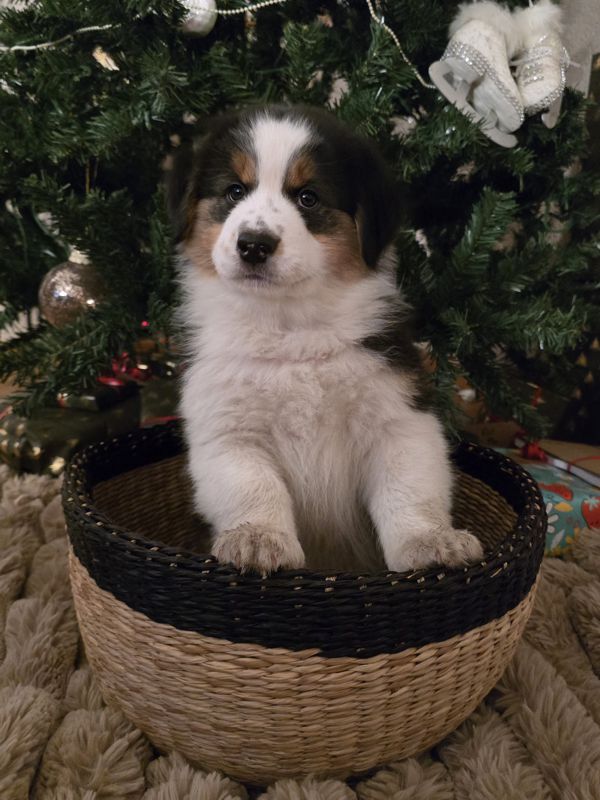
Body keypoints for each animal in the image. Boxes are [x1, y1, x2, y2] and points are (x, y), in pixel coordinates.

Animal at [167, 105, 484, 574]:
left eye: (308, 197)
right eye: (234, 190)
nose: (254, 245)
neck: (289, 328)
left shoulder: (400, 417)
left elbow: (409, 491)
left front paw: (431, 543)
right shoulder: (228, 431)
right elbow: (254, 488)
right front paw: (257, 539)